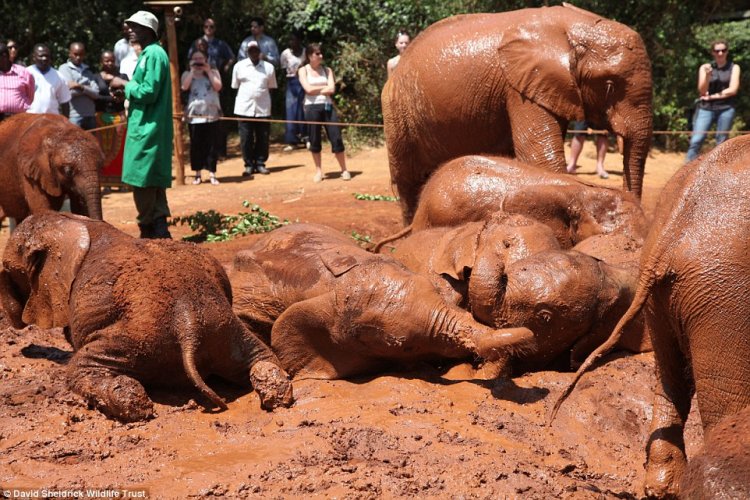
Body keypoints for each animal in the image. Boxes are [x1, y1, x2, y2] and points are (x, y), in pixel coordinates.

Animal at [0, 212, 294, 422]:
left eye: (10, 271)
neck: (70, 220)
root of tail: (188, 324)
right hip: (227, 332)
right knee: (261, 357)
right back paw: (275, 393)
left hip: (139, 338)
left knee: (81, 368)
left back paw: (136, 406)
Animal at [384, 2, 656, 221]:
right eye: (609, 85)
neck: (571, 26)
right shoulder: (518, 85)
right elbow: (540, 157)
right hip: (397, 110)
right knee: (408, 183)